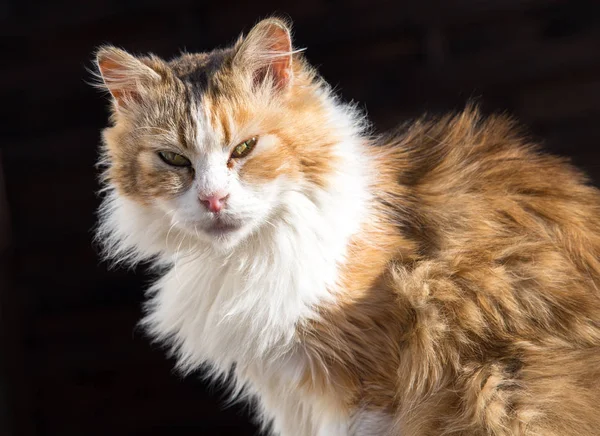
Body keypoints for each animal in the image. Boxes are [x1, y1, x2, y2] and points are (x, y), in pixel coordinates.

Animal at [92, 17, 600, 436]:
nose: (213, 199)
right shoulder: (290, 394)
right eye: (174, 159)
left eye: (244, 148)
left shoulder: (367, 388)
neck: (249, 256)